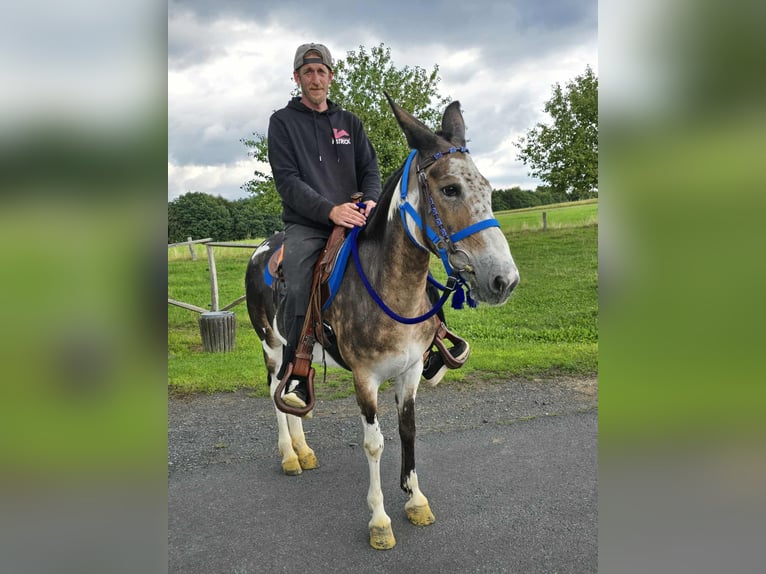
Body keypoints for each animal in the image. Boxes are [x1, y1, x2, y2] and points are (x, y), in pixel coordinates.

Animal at [245, 94, 519, 550]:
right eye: (450, 188)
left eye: (489, 189)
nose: (504, 280)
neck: (390, 286)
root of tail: (262, 248)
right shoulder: (365, 378)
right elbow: (374, 443)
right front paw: (379, 520)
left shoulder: (409, 371)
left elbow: (408, 430)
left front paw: (415, 499)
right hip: (272, 344)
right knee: (274, 394)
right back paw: (288, 455)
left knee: (293, 392)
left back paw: (304, 451)